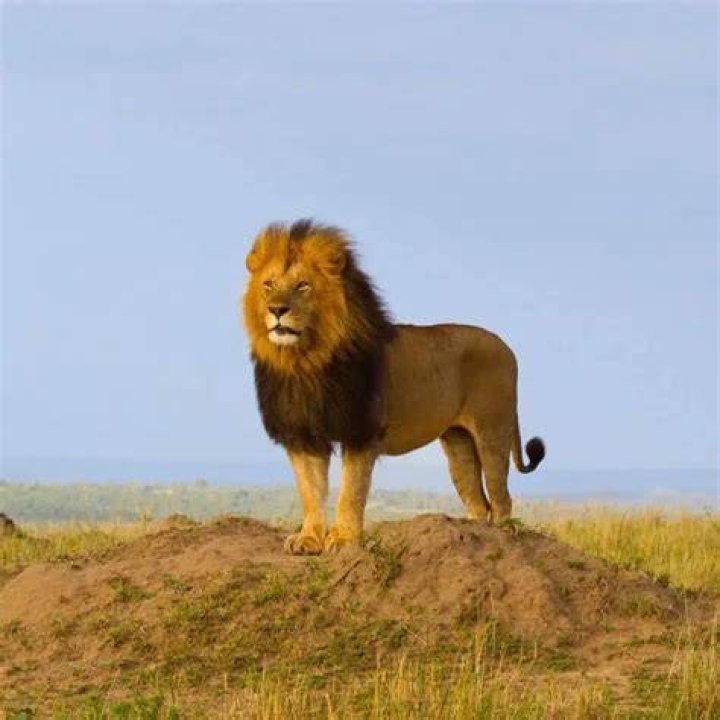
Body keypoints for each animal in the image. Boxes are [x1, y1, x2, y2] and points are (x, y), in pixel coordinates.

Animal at [243, 219, 545, 555]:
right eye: (268, 284)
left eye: (302, 285)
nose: (276, 309)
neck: (305, 362)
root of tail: (506, 346)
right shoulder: (303, 436)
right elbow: (310, 492)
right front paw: (309, 539)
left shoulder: (361, 432)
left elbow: (350, 492)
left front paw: (343, 539)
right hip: (459, 443)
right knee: (479, 502)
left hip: (492, 430)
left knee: (502, 499)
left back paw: (501, 542)